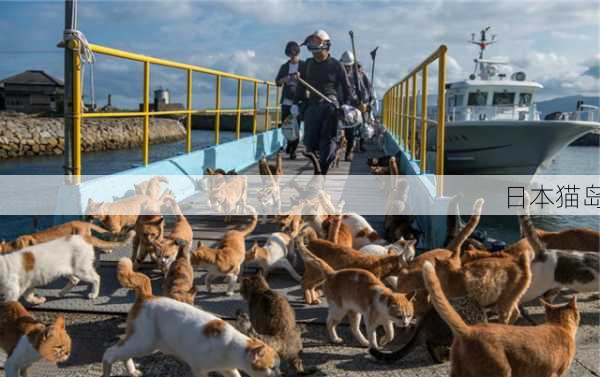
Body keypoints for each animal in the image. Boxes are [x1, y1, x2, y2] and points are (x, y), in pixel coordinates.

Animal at [0, 231, 134, 304]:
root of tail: (83, 237)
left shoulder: (13, 292)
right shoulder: (27, 285)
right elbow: (28, 297)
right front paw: (38, 300)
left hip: (81, 270)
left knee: (96, 278)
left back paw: (94, 294)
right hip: (68, 270)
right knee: (75, 280)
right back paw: (62, 292)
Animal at [103, 258, 282, 376]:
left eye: (278, 367)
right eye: (272, 367)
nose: (279, 374)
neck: (230, 347)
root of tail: (147, 296)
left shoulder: (229, 369)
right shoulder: (199, 369)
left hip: (143, 344)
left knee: (122, 353)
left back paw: (132, 371)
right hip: (143, 342)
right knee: (109, 353)